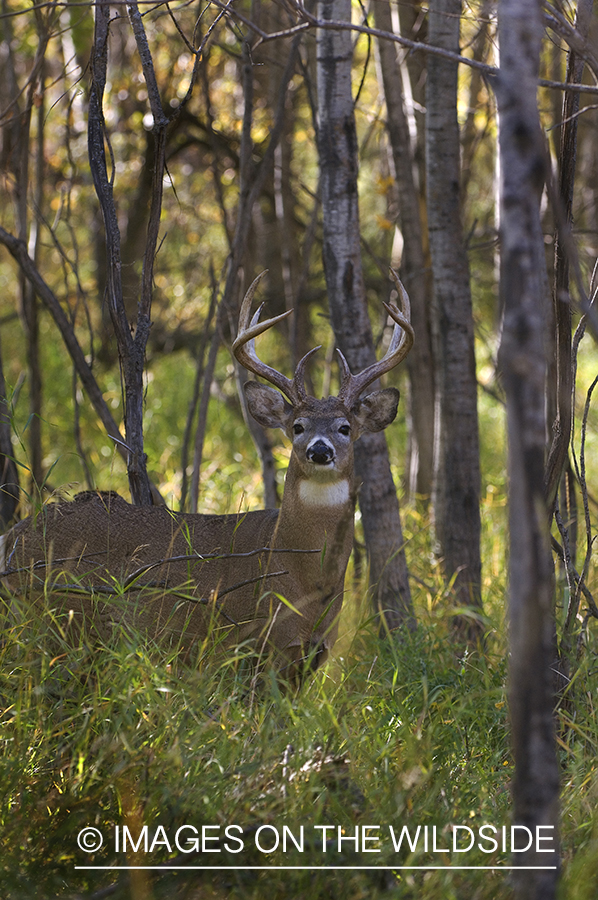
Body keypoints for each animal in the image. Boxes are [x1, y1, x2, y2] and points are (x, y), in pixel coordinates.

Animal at [0, 270, 414, 680]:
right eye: (297, 426)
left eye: (345, 427)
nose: (320, 450)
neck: (302, 579)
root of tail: (14, 535)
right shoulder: (249, 647)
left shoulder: (309, 660)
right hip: (57, 619)